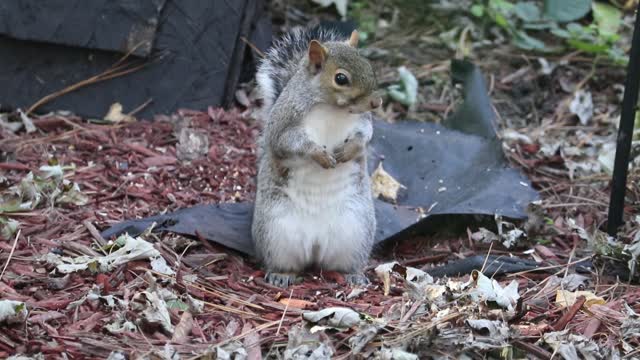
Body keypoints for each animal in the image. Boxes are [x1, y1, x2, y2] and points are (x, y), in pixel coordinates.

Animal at [250, 26, 380, 288]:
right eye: (341, 78)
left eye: (369, 65)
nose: (376, 102)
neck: (333, 109)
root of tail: (316, 244)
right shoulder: (284, 124)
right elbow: (288, 143)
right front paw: (319, 155)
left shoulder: (362, 121)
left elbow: (364, 136)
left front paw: (348, 151)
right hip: (276, 233)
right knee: (284, 262)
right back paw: (281, 275)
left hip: (355, 231)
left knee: (344, 263)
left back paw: (354, 275)